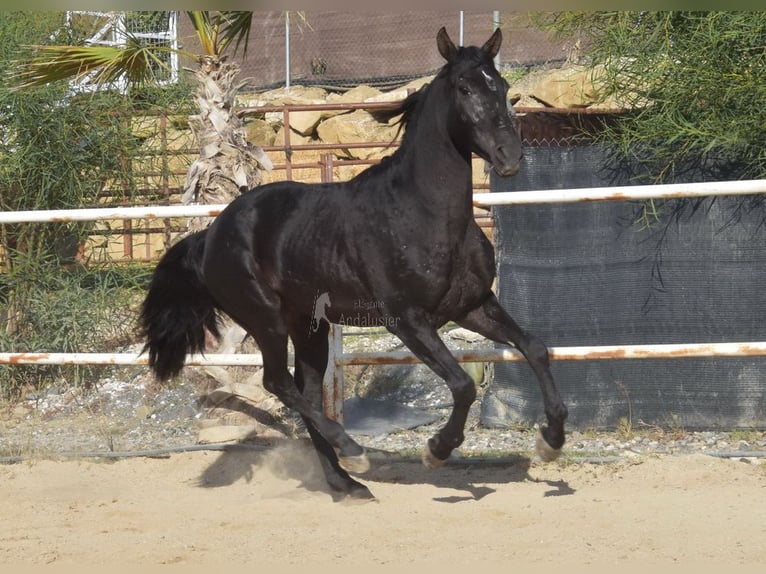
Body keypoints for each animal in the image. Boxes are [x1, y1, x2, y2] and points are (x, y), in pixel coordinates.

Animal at [140, 29, 568, 502]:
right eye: (465, 88)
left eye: (504, 87)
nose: (510, 156)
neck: (423, 214)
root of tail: (210, 235)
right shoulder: (407, 320)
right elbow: (463, 384)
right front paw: (437, 449)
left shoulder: (472, 306)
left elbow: (535, 347)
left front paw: (551, 441)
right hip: (266, 319)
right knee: (277, 384)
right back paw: (354, 453)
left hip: (310, 327)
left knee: (305, 391)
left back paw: (345, 481)